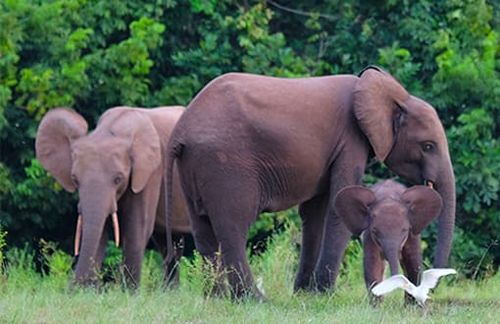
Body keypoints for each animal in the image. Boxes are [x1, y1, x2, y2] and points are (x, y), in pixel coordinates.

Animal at [35, 105, 191, 288]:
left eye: (118, 179)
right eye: (75, 179)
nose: (70, 289)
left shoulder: (151, 171)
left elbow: (137, 230)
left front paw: (129, 292)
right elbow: (100, 231)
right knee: (170, 244)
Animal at [166, 66, 456, 298]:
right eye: (428, 146)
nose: (430, 285)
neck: (392, 96)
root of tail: (180, 131)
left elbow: (316, 213)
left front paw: (305, 294)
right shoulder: (351, 141)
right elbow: (336, 207)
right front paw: (324, 294)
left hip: (193, 165)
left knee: (203, 230)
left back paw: (215, 298)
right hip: (225, 165)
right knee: (233, 226)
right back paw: (253, 300)